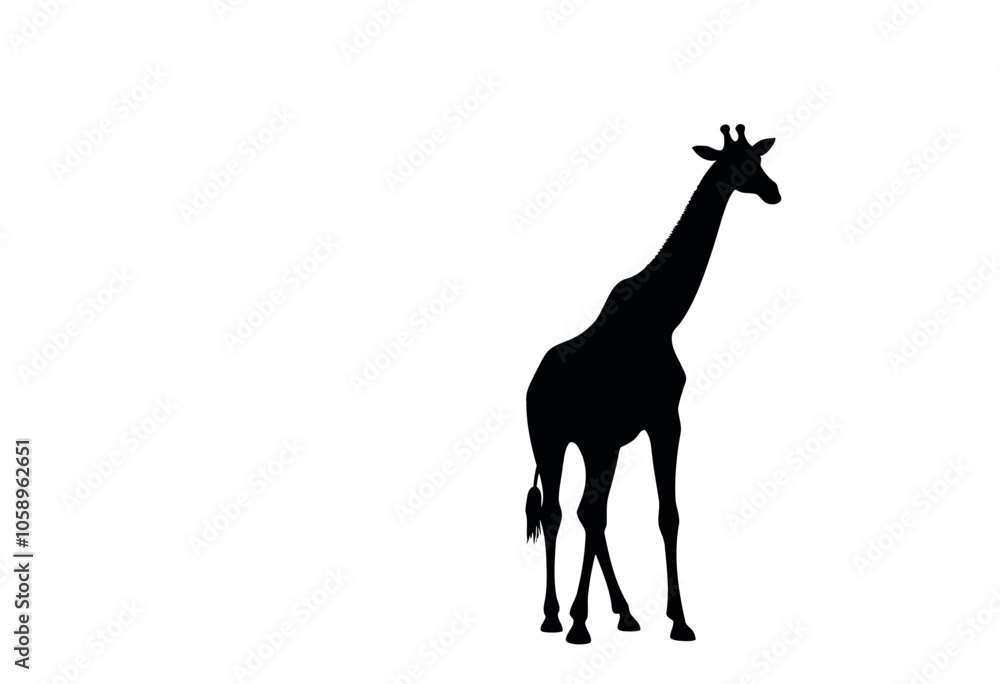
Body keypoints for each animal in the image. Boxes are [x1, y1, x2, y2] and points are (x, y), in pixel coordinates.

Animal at [524, 124, 780, 645]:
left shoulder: (642, 428)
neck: (664, 316)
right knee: (560, 512)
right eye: (737, 165)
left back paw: (609, 614)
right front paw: (672, 620)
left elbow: (655, 514)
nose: (774, 191)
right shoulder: (656, 421)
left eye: (760, 160)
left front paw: (664, 618)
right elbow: (654, 514)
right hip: (552, 440)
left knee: (583, 513)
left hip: (592, 445)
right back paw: (561, 617)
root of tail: (531, 384)